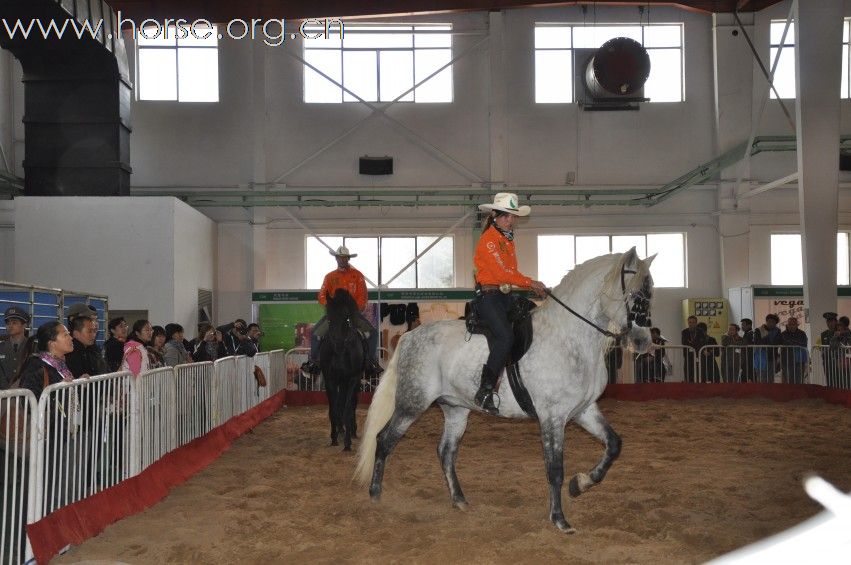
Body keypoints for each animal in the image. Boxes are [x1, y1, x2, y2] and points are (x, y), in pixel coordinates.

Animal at [356, 249, 656, 532]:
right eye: (636, 295)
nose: (644, 342)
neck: (569, 336)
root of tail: (409, 337)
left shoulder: (583, 411)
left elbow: (613, 445)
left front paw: (580, 484)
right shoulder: (553, 417)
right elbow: (555, 469)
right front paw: (559, 519)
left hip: (455, 409)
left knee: (445, 451)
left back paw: (459, 500)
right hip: (412, 404)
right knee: (384, 440)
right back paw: (375, 495)